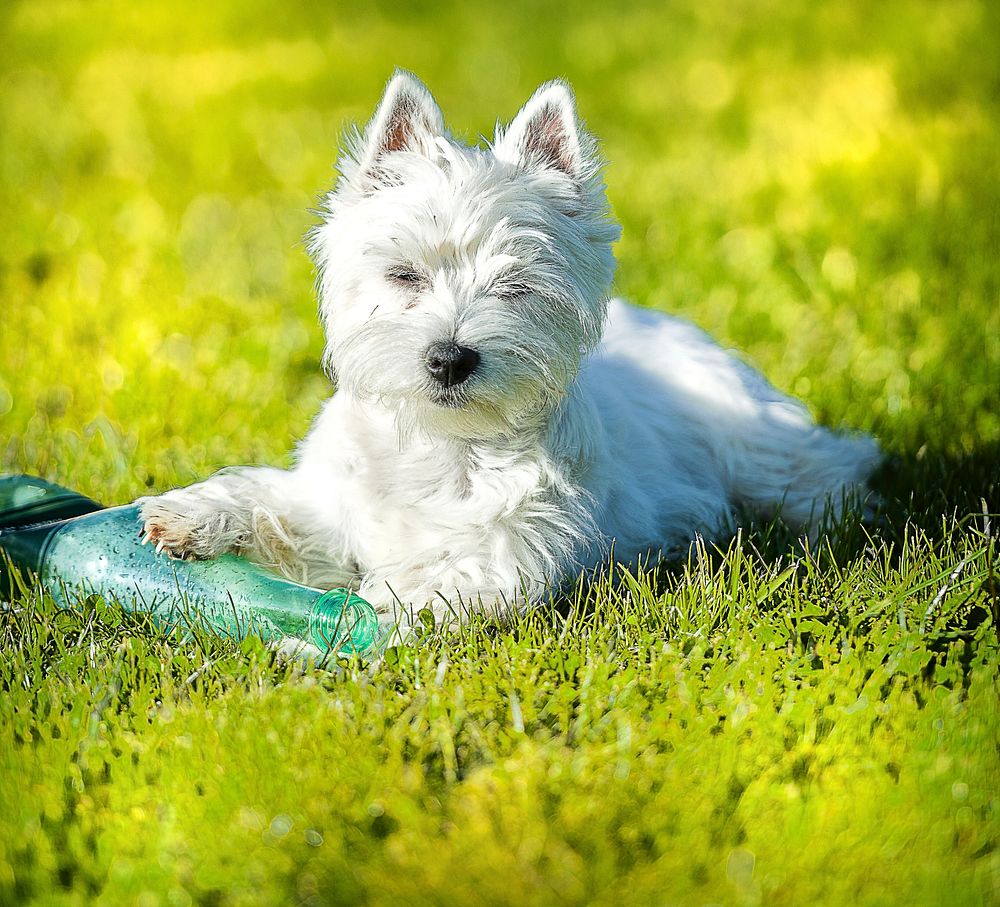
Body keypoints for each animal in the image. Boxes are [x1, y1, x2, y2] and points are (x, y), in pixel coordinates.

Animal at [139, 71, 876, 636]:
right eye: (404, 275)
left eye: (515, 286)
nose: (449, 358)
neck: (443, 447)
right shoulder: (334, 509)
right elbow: (274, 503)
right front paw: (187, 517)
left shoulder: (514, 550)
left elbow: (443, 579)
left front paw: (377, 609)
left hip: (756, 446)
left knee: (823, 470)